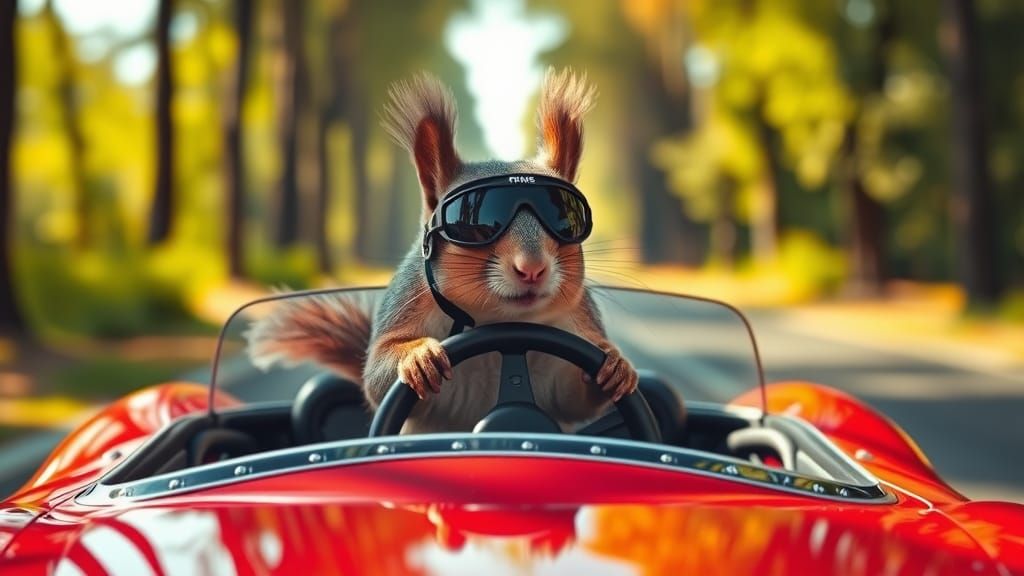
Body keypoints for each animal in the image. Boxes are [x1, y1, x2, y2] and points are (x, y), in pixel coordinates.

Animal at [247, 68, 638, 433]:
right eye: (475, 222)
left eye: (567, 220)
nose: (532, 268)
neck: (495, 321)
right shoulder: (407, 304)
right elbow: (375, 376)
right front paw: (417, 357)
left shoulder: (576, 330)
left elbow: (574, 400)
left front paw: (616, 365)